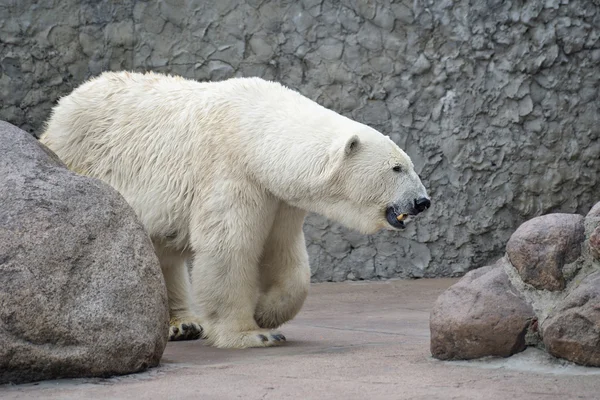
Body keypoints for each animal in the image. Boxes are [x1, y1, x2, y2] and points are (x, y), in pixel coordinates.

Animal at [38, 72, 432, 350]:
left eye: (409, 165)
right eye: (397, 168)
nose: (422, 201)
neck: (256, 131)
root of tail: (62, 106)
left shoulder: (278, 196)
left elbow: (284, 254)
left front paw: (266, 313)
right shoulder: (231, 171)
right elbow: (230, 248)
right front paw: (251, 334)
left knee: (162, 251)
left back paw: (183, 324)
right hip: (80, 159)